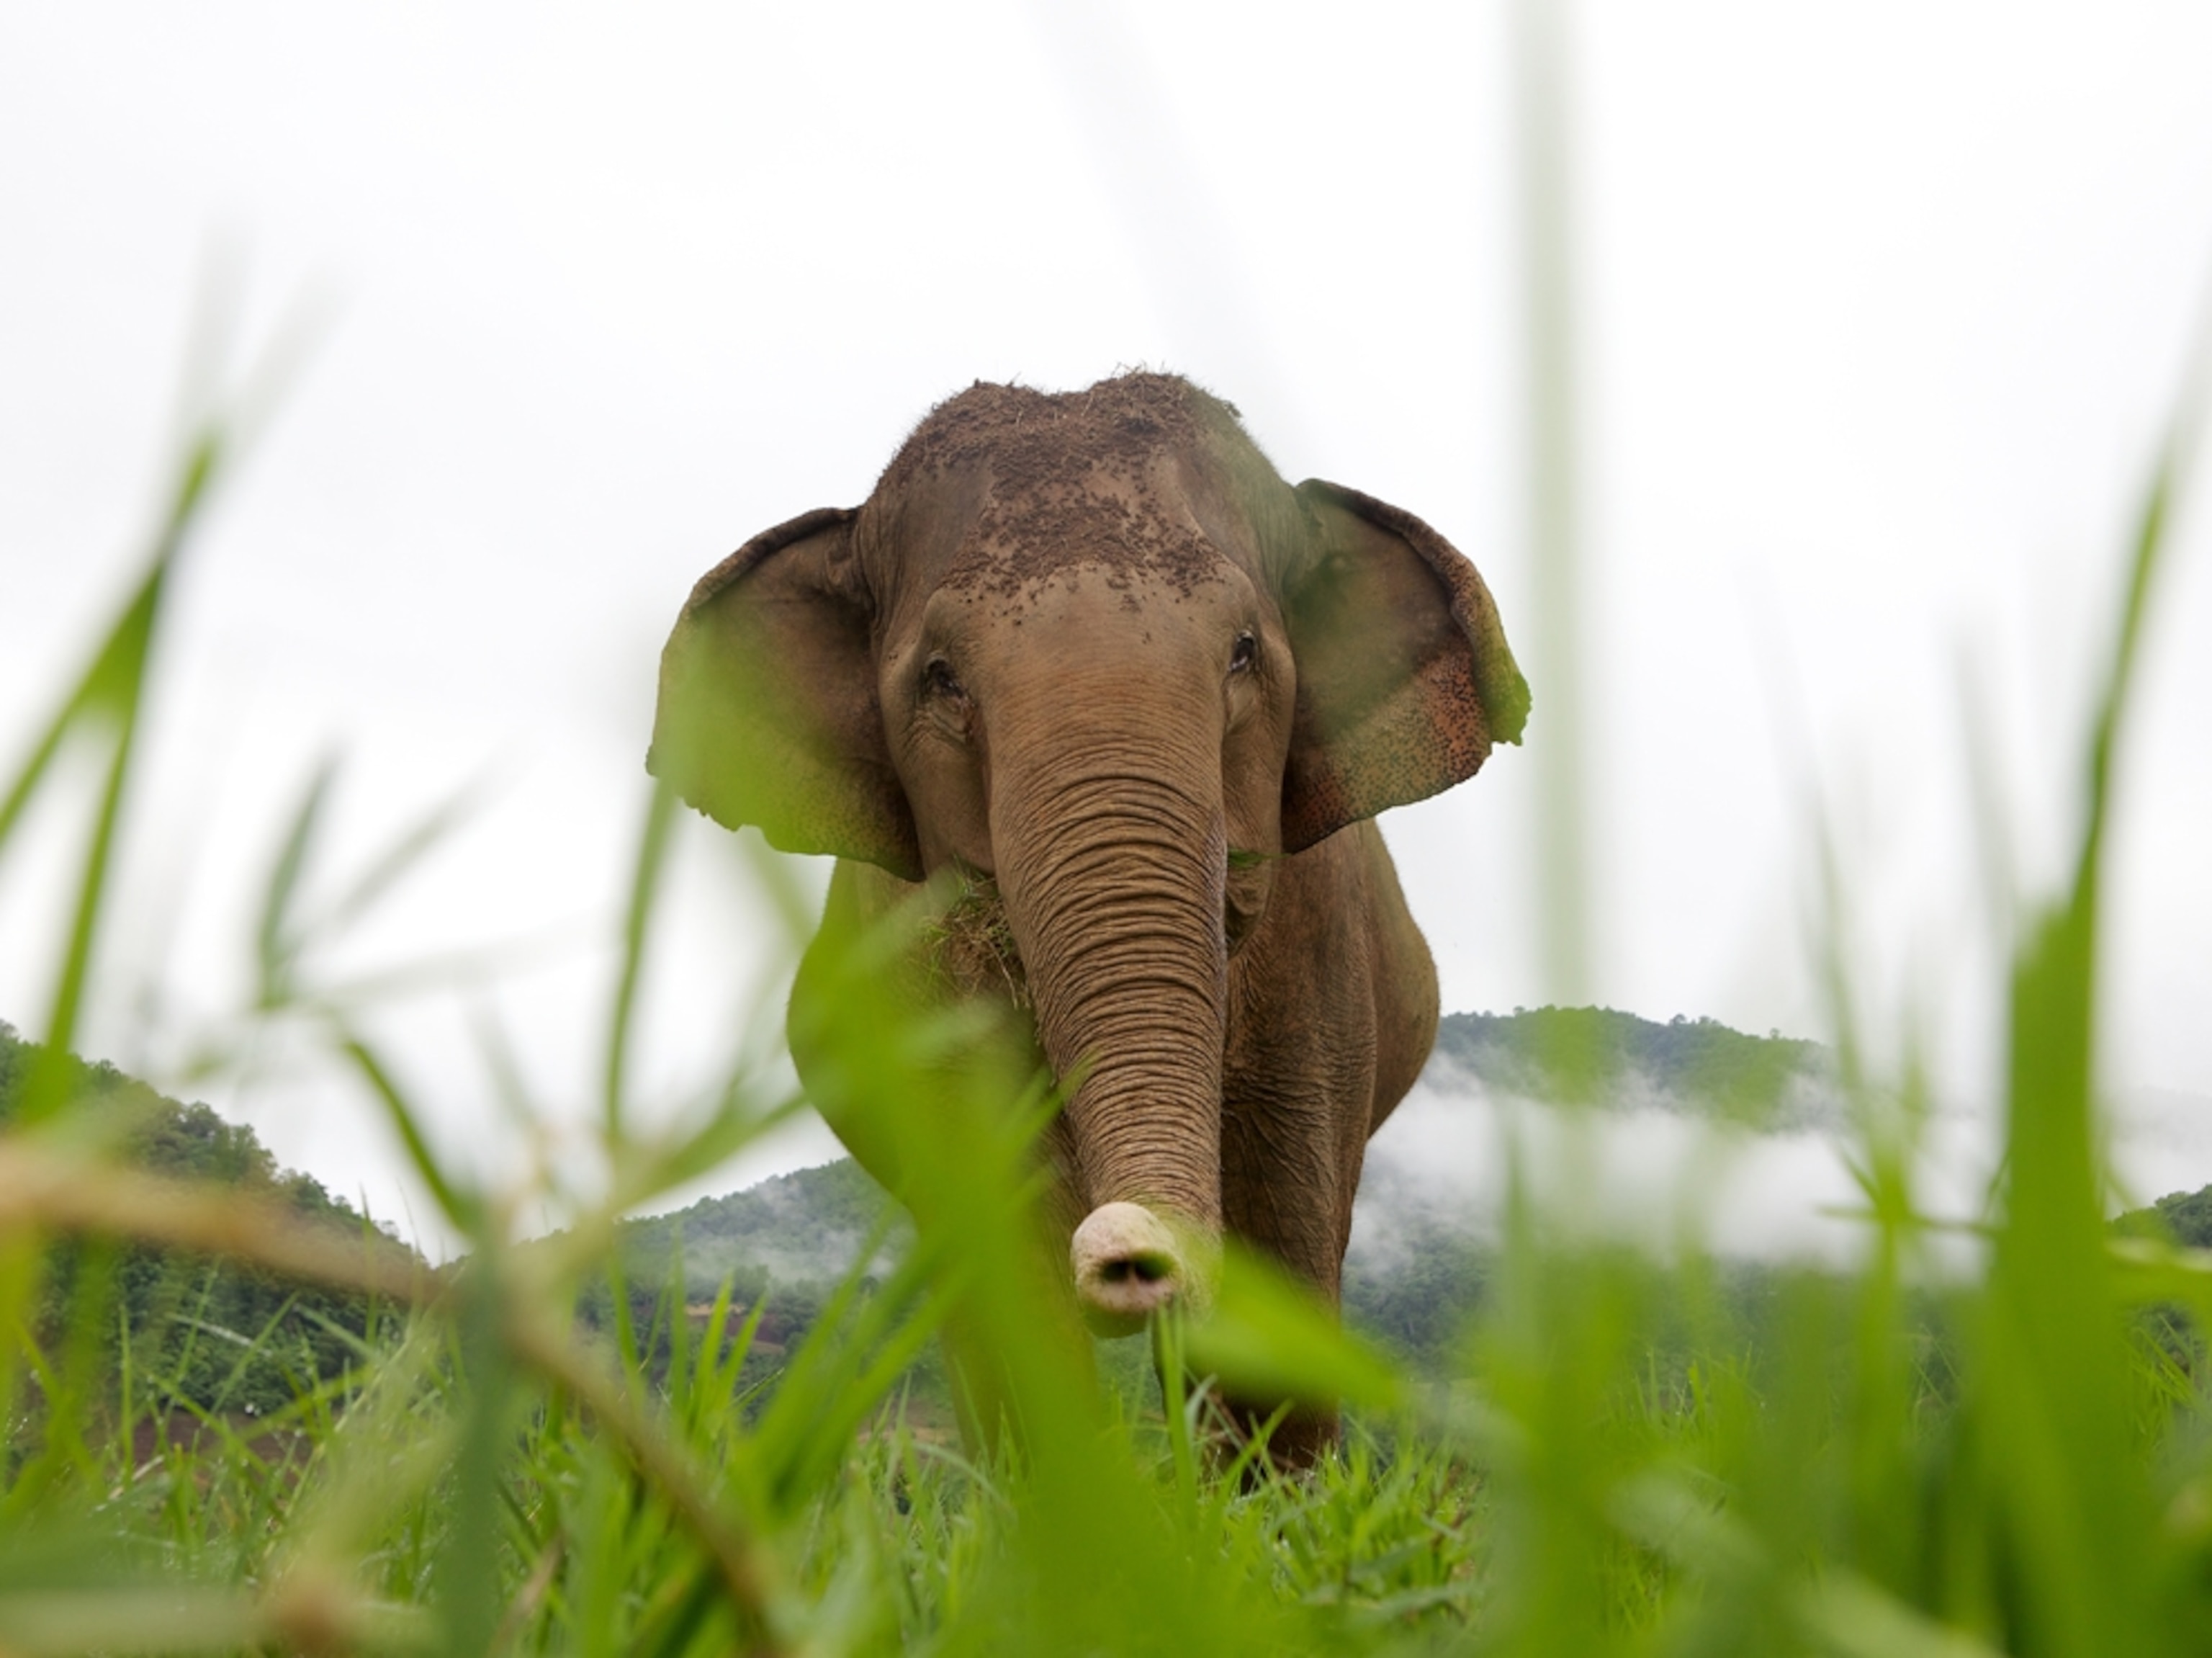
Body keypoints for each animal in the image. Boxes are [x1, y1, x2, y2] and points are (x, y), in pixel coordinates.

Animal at [649, 372, 1526, 1462]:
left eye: (1244, 652)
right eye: (941, 678)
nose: (1131, 1253)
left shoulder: (1318, 955)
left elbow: (1280, 1258)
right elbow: (1005, 1267)